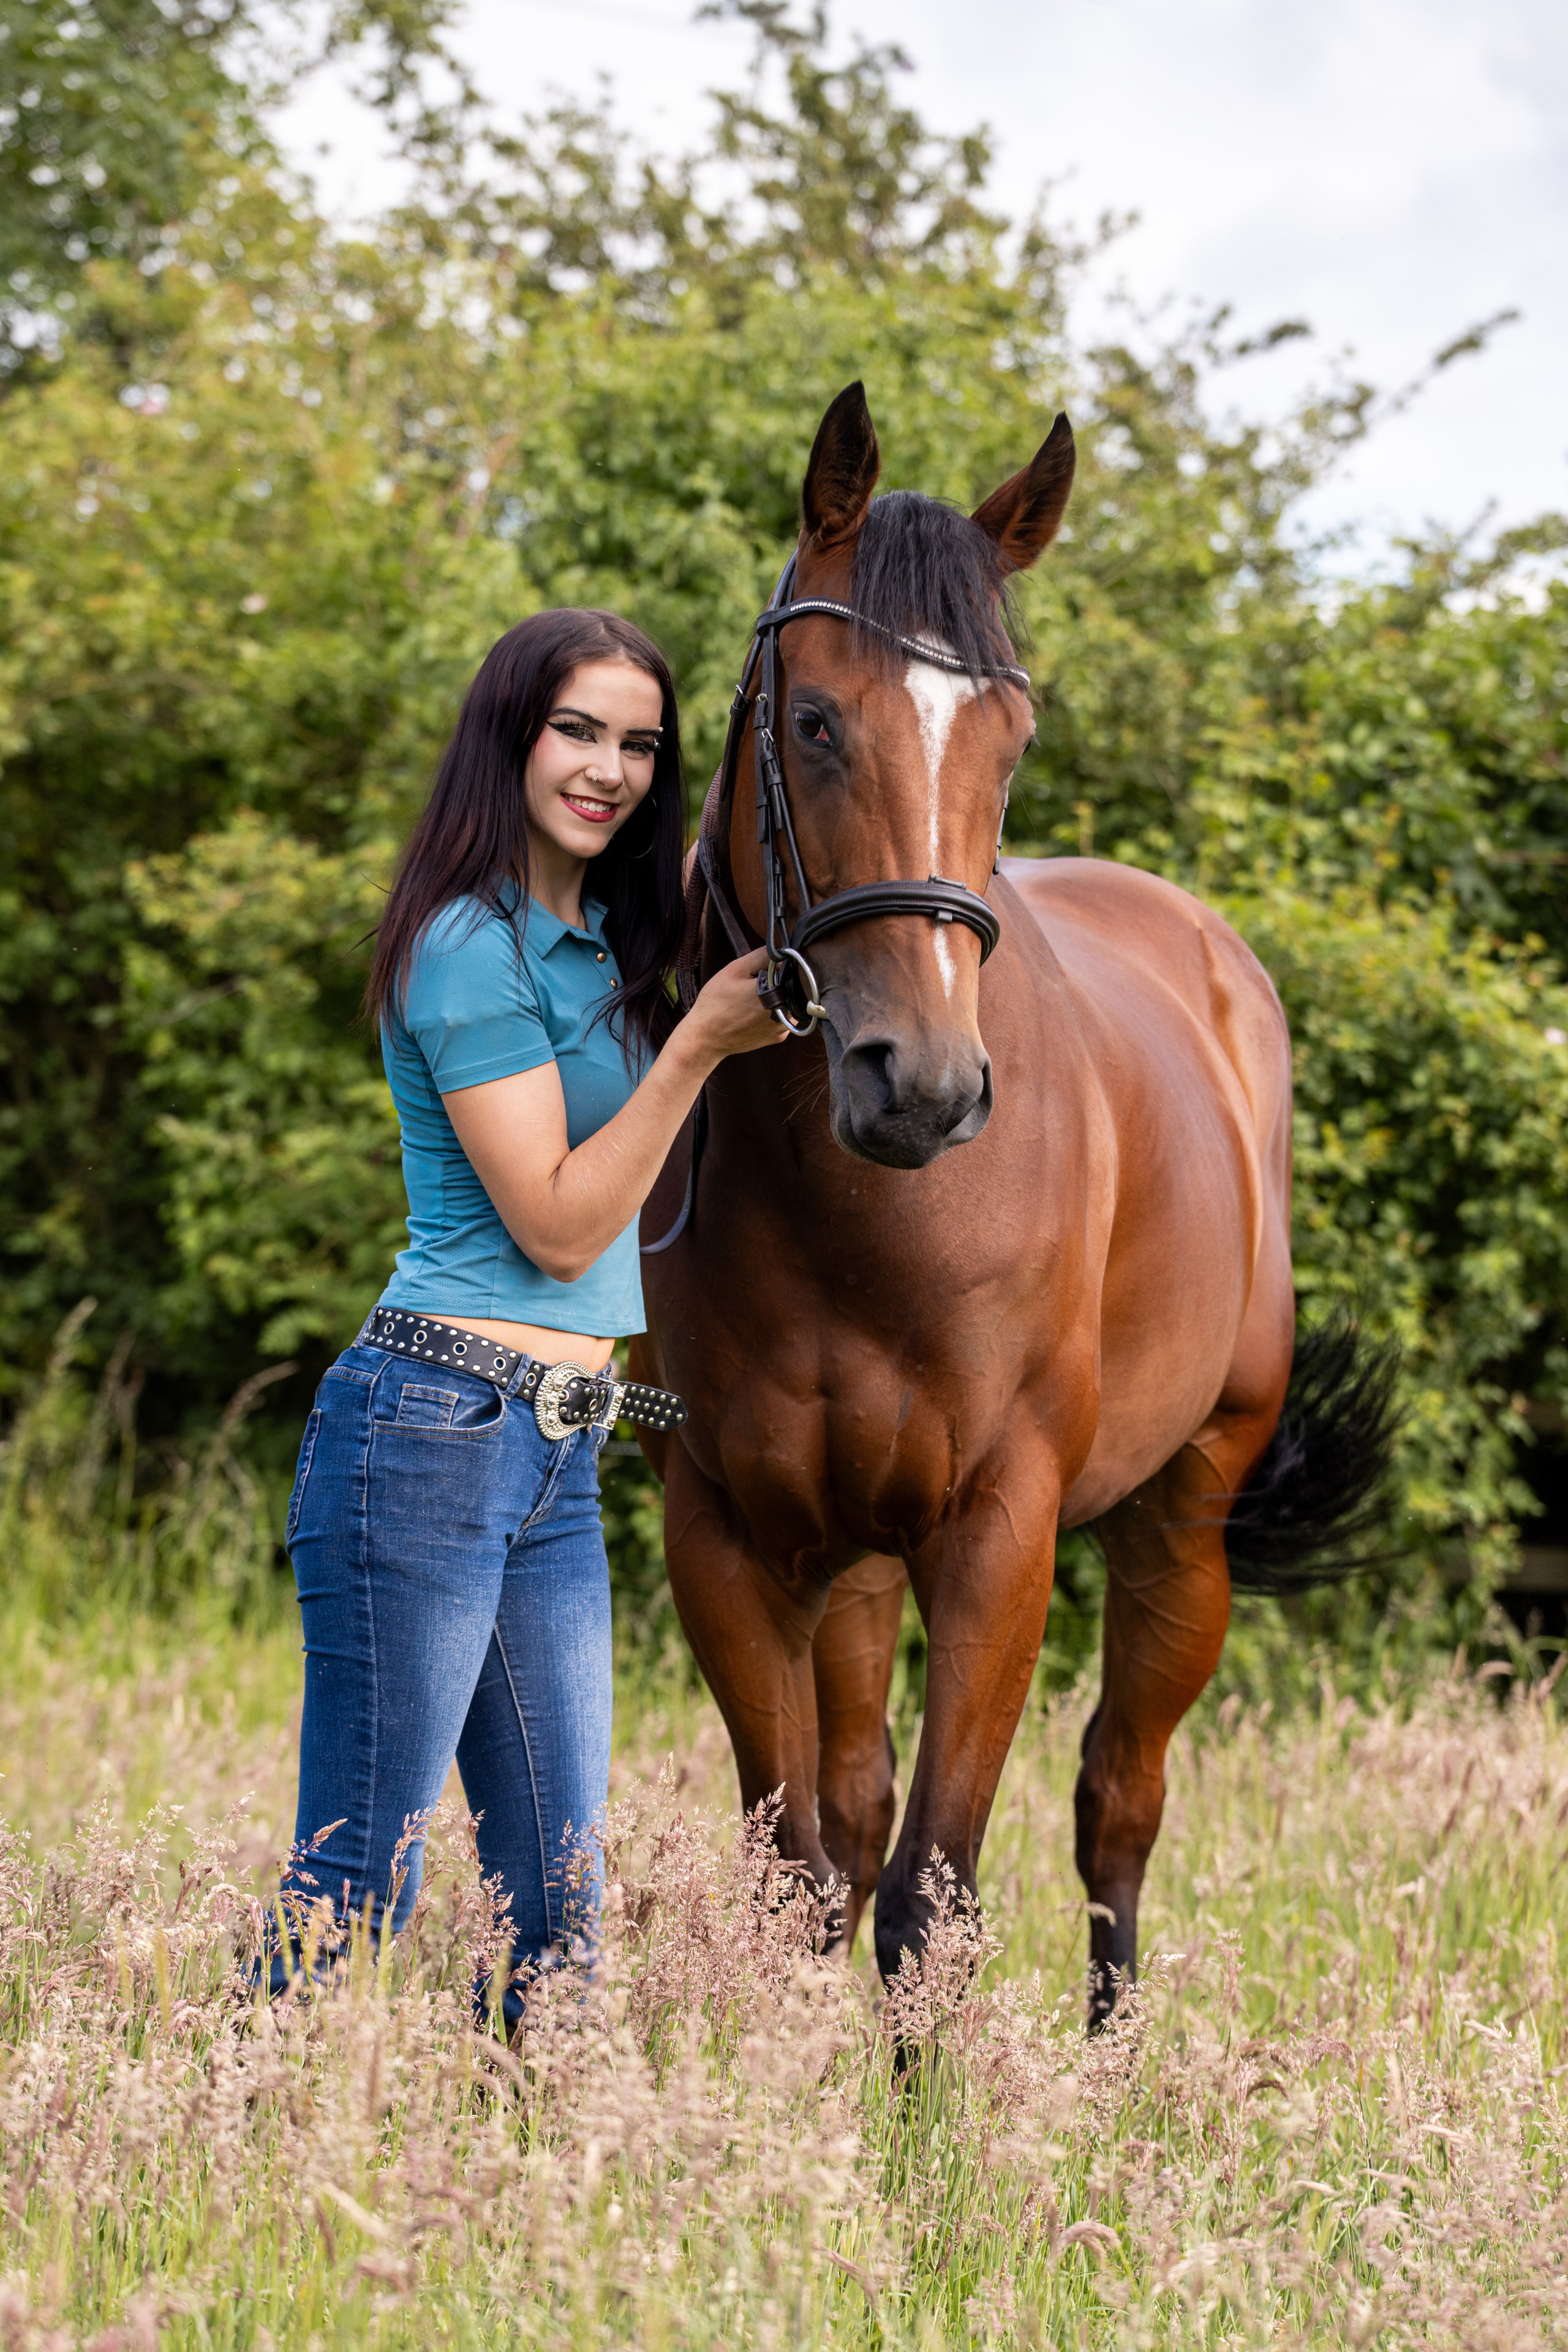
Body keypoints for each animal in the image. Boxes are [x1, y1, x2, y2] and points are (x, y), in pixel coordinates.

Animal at [631, 382, 1394, 2021]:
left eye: (1011, 737)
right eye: (811, 719)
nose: (918, 1083)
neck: (859, 1221)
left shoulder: (1000, 1531)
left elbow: (932, 1894)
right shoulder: (726, 1530)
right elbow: (799, 1871)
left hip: (1182, 1523)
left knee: (1118, 1800)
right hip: (854, 1555)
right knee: (853, 1819)